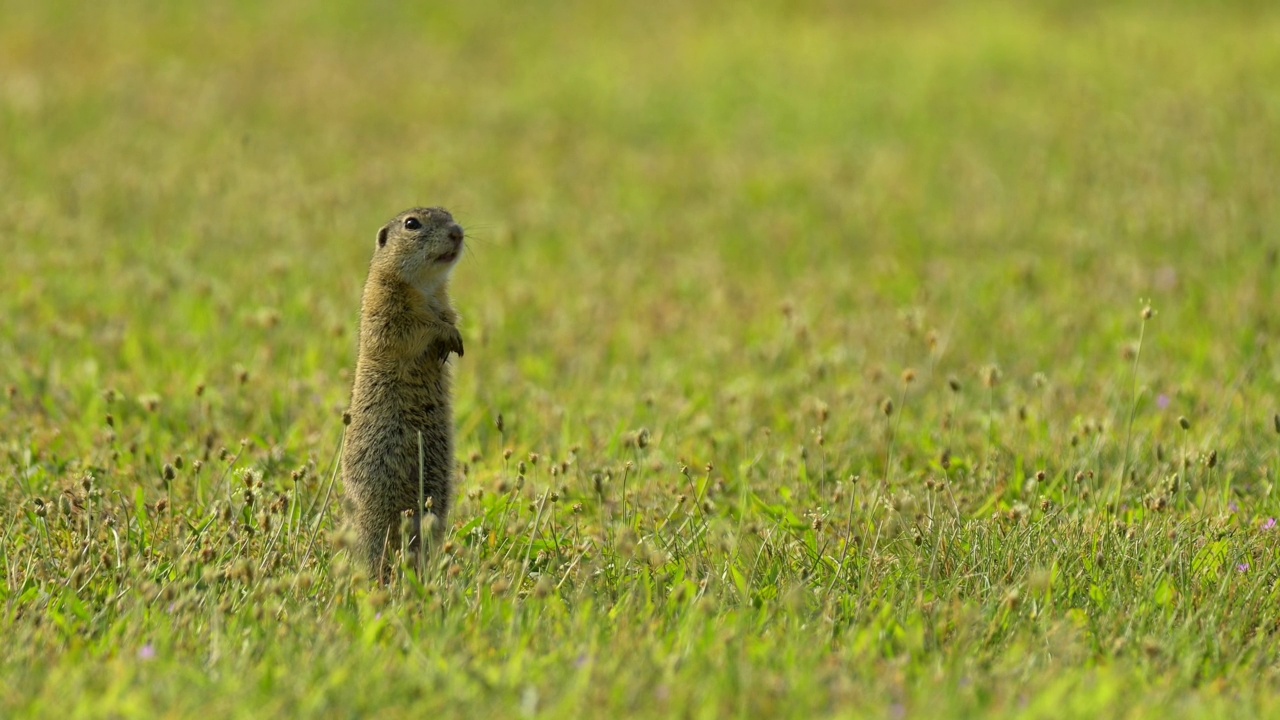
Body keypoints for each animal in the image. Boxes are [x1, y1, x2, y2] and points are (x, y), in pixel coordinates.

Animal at [340, 204, 465, 573]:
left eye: (449, 213)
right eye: (412, 224)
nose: (457, 232)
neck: (424, 287)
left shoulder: (444, 301)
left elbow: (449, 316)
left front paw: (454, 336)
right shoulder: (385, 304)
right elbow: (409, 329)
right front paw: (445, 335)